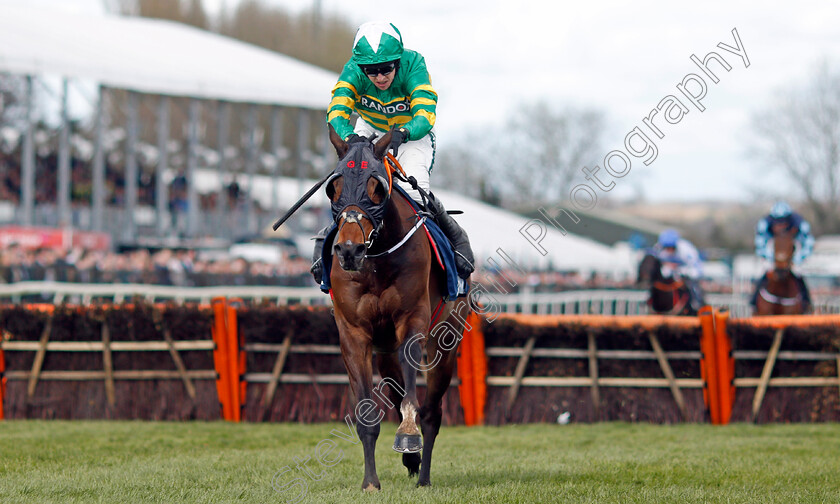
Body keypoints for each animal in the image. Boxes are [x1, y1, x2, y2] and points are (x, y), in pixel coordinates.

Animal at [324, 127, 466, 492]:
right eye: (334, 187)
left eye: (377, 188)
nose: (349, 250)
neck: (377, 258)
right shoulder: (354, 334)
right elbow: (367, 412)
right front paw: (370, 482)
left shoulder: (412, 320)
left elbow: (413, 399)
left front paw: (408, 436)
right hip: (384, 348)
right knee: (397, 383)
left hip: (448, 339)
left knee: (432, 412)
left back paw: (424, 474)